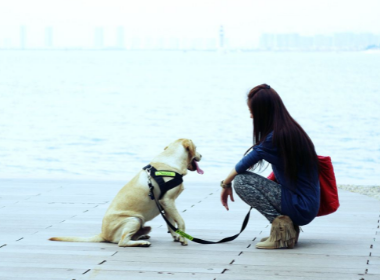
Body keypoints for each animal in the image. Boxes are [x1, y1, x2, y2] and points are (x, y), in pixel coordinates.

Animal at [49, 139, 202, 246]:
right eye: (196, 147)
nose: (202, 155)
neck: (171, 161)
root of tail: (103, 234)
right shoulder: (168, 201)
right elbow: (180, 222)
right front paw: (184, 239)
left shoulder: (165, 204)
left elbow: (170, 223)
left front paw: (177, 236)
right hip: (134, 219)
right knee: (122, 242)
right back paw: (141, 242)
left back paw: (141, 236)